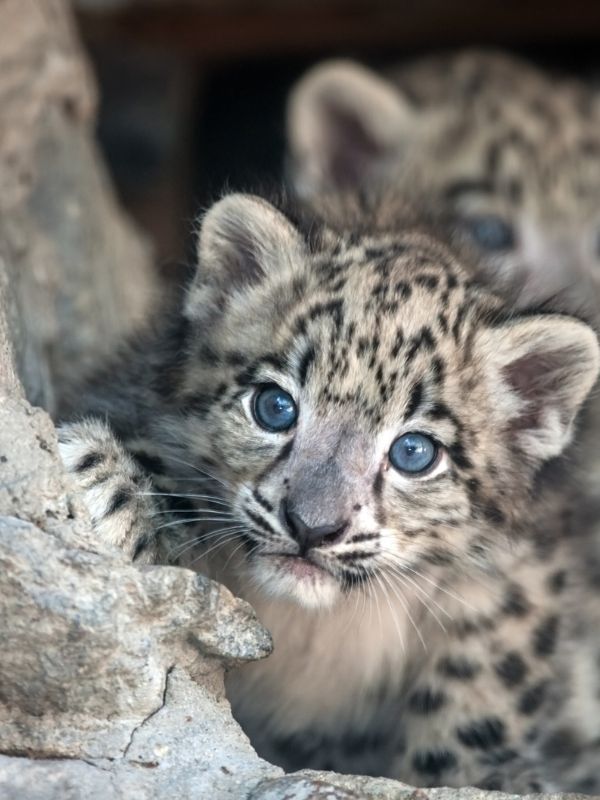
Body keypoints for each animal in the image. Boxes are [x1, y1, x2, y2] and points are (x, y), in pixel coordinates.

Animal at [59, 187, 600, 793]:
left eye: (414, 453)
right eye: (274, 406)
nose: (312, 526)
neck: (312, 629)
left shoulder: (516, 579)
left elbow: (489, 680)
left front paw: (483, 773)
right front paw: (110, 479)